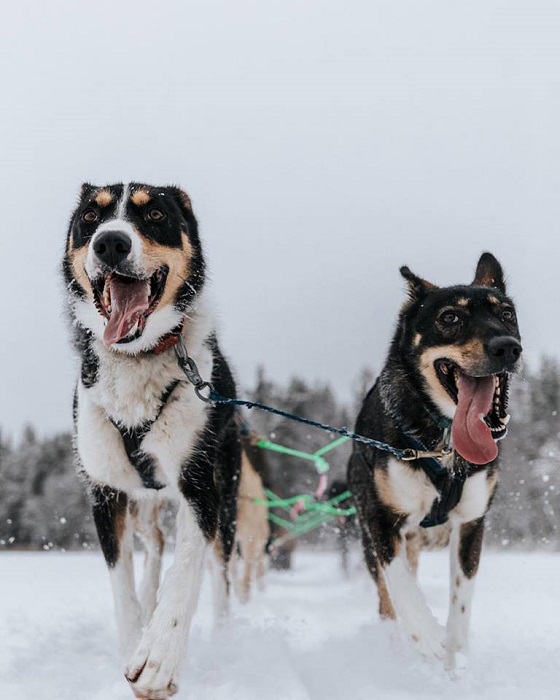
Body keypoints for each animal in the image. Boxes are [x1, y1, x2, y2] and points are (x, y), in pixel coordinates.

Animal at [62, 183, 242, 696]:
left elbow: (187, 571)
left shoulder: (198, 482)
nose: (110, 242)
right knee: (156, 544)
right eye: (91, 216)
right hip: (141, 503)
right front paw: (134, 641)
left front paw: (159, 658)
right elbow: (121, 587)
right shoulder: (105, 492)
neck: (137, 358)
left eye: (156, 214)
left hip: (226, 497)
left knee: (217, 571)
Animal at [348, 253, 524, 668]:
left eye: (507, 313)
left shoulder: (472, 523)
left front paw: (453, 658)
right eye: (450, 317)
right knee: (387, 600)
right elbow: (400, 587)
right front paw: (427, 636)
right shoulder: (382, 521)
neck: (444, 444)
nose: (507, 347)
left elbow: (461, 604)